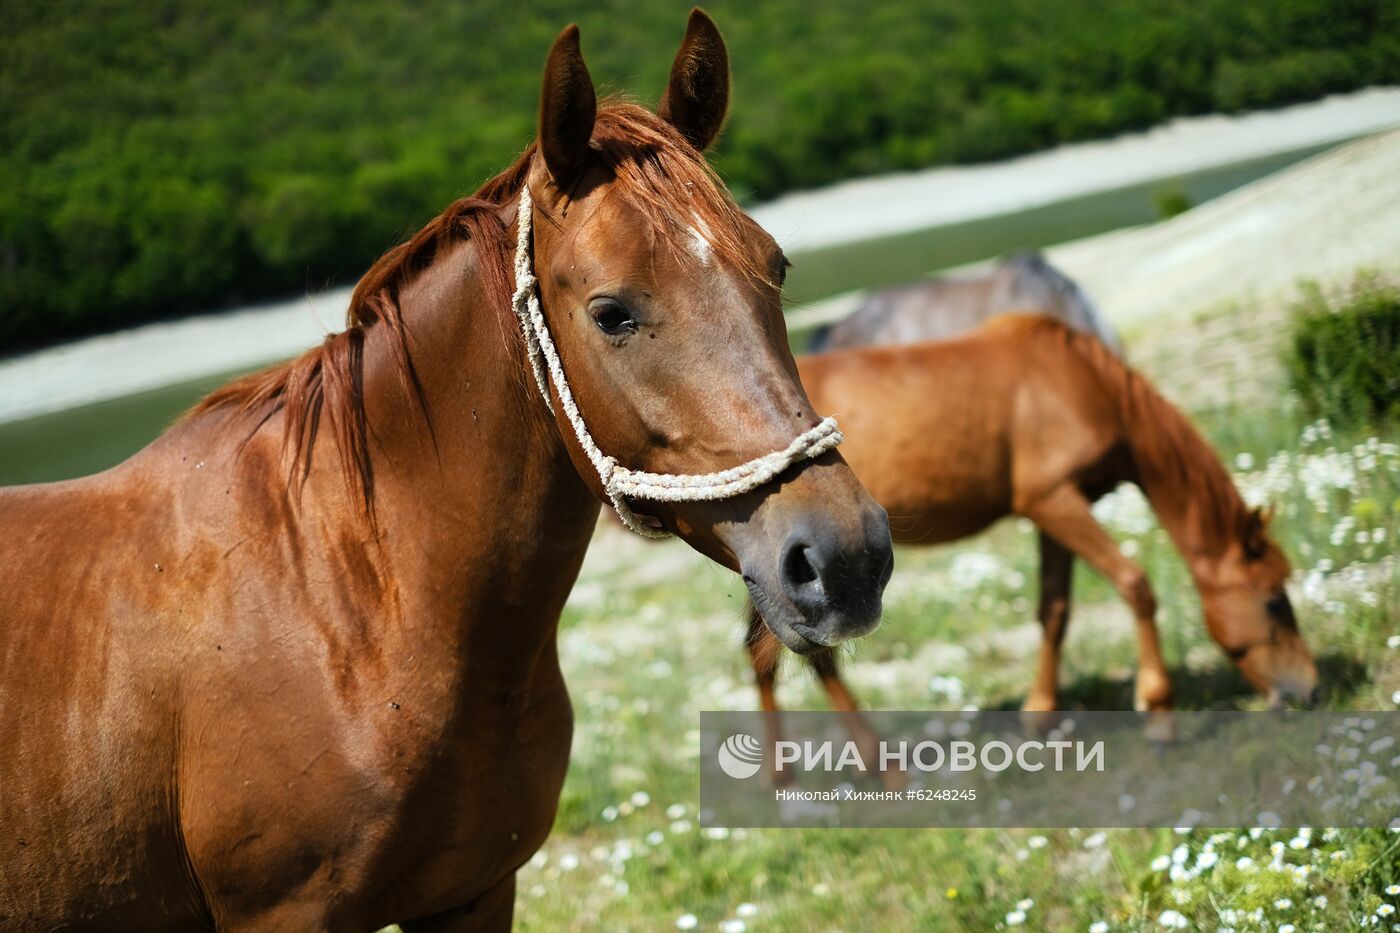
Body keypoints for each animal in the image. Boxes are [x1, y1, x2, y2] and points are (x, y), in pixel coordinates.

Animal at [750, 311, 1316, 756]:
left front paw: (1040, 711)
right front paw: (1158, 711)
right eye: (1273, 602)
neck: (1085, 386)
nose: (1309, 691)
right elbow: (1135, 585)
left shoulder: (1058, 511)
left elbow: (1055, 609)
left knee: (767, 656)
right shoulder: (1052, 500)